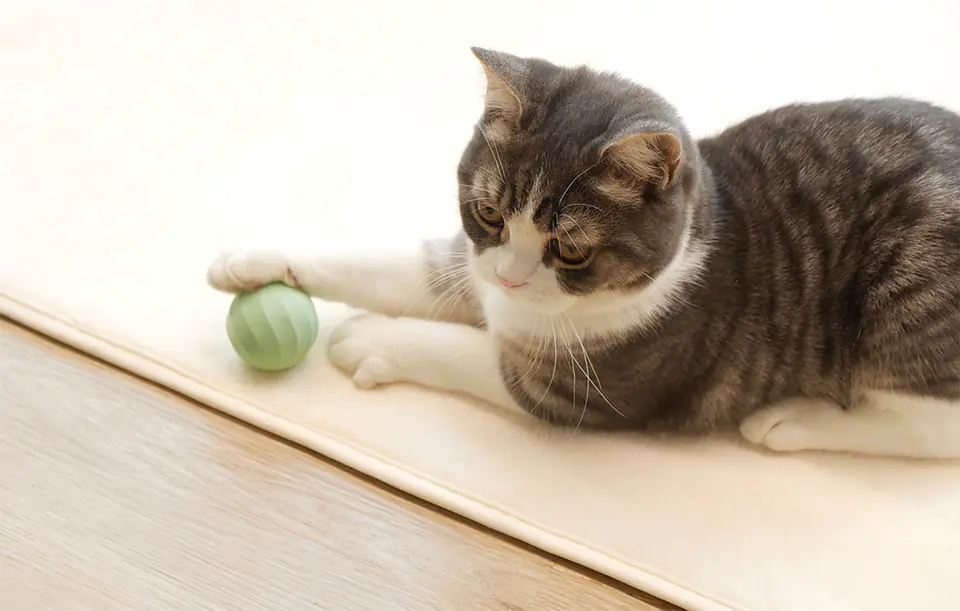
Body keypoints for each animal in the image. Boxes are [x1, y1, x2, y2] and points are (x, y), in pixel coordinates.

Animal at [208, 47, 960, 460]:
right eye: (489, 213)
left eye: (569, 249)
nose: (511, 279)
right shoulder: (470, 263)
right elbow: (389, 266)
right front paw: (251, 261)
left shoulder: (583, 391)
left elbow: (471, 355)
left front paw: (372, 339)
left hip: (906, 293)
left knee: (930, 426)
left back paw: (793, 419)